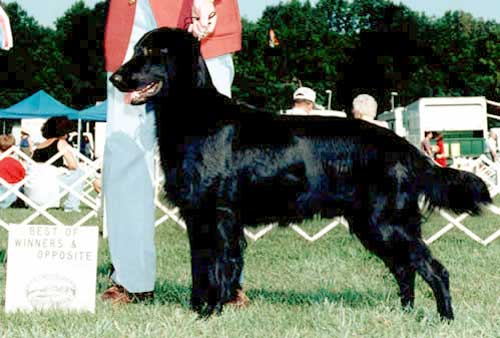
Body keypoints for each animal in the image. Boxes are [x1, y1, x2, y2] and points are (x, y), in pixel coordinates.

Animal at [110, 27, 492, 320]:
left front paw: (210, 312)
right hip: (372, 225)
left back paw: (445, 318)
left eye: (151, 52)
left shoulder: (217, 214)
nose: (115, 77)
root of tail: (406, 147)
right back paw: (405, 313)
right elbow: (200, 268)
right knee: (404, 269)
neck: (194, 116)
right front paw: (197, 310)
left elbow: (217, 267)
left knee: (433, 269)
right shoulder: (196, 216)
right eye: (136, 49)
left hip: (387, 223)